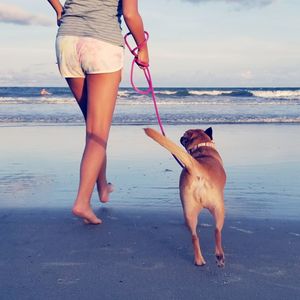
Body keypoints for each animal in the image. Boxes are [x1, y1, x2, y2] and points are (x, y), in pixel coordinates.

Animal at [144, 127, 226, 268]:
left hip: (189, 211)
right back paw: (219, 256)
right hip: (219, 209)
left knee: (194, 237)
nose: (181, 137)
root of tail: (198, 168)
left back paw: (199, 260)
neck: (202, 147)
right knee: (217, 232)